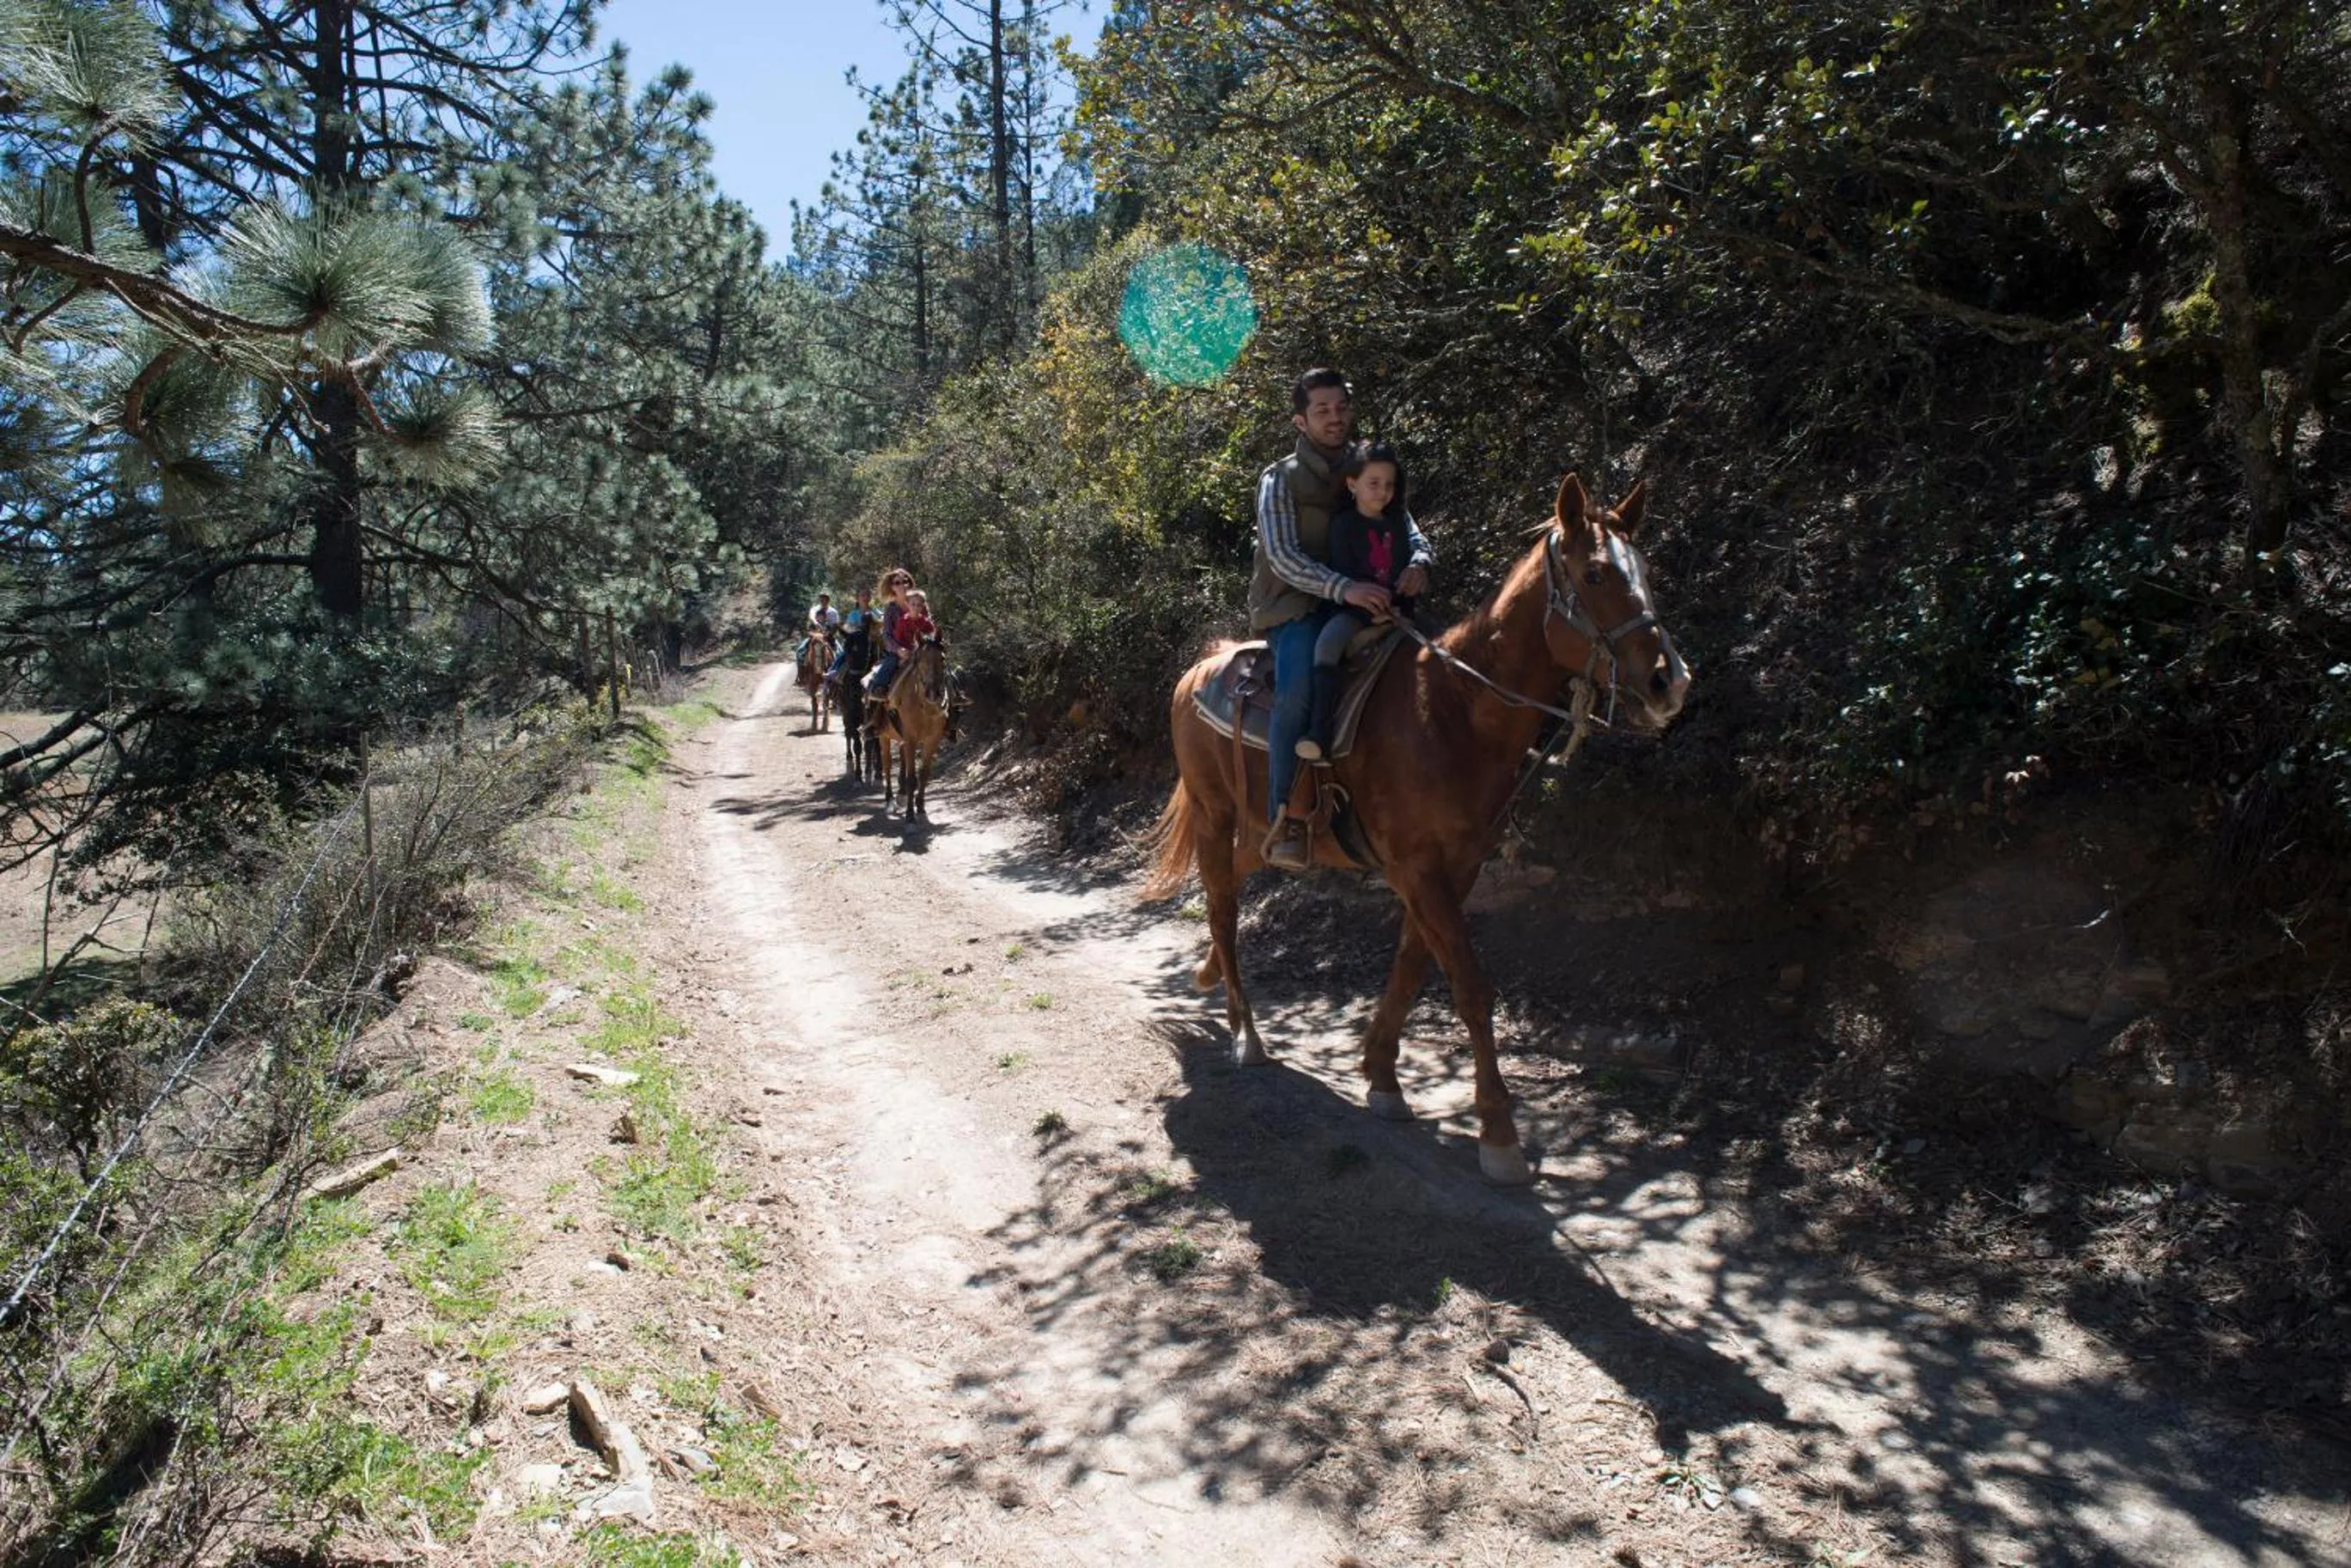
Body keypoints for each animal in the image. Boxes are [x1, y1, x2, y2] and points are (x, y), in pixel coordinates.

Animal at [876, 639, 950, 819]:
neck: (925, 709)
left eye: (943, 659)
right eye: (919, 661)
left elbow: (923, 773)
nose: (933, 693)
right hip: (883, 735)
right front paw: (910, 815)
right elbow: (911, 777)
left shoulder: (932, 740)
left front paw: (921, 807)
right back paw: (890, 800)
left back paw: (901, 795)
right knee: (887, 764)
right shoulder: (911, 739)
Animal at [1141, 473, 1690, 1186]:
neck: (1454, 713)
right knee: (1223, 908)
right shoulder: (1418, 869)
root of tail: (1198, 671)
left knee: (1229, 886)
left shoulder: (1452, 869)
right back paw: (1246, 1033)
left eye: (1644, 571)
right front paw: (1499, 1136)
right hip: (1213, 813)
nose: (1669, 681)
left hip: (1263, 831)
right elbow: (1470, 986)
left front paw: (1381, 1078)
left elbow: (1409, 966)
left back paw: (1209, 978)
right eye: (1595, 574)